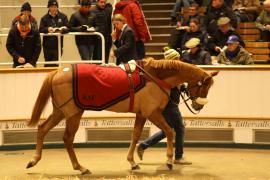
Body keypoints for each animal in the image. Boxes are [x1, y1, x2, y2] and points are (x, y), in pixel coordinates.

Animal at [26, 58, 218, 174]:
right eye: (205, 86)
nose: (198, 105)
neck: (154, 77)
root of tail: (59, 71)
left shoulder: (141, 114)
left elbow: (135, 136)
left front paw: (132, 162)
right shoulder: (152, 113)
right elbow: (170, 131)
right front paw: (169, 161)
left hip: (60, 112)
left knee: (42, 129)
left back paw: (34, 160)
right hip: (73, 114)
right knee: (67, 138)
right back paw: (80, 167)